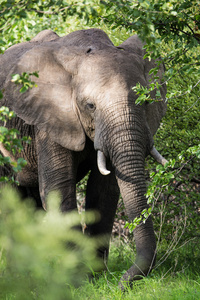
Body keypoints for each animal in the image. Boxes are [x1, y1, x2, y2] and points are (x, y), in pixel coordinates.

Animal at [0, 28, 167, 288]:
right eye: (90, 105)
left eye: (146, 101)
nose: (124, 283)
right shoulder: (49, 119)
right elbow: (58, 188)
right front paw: (78, 279)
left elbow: (105, 189)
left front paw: (97, 275)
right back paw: (19, 278)